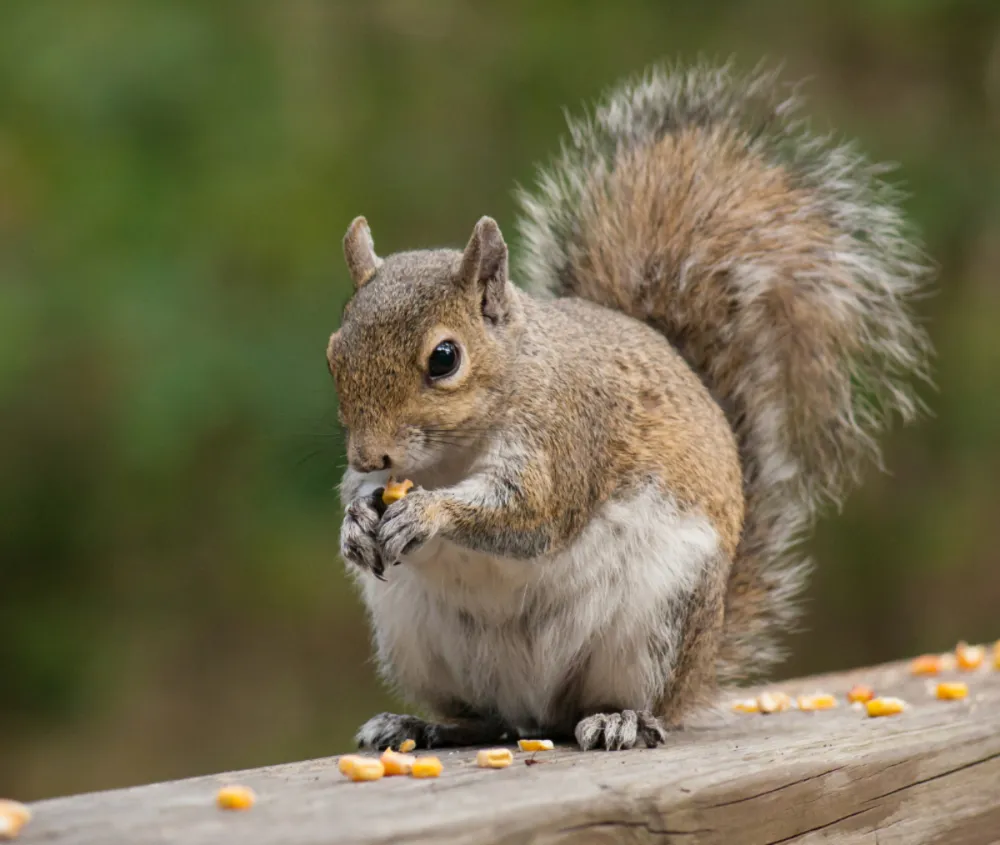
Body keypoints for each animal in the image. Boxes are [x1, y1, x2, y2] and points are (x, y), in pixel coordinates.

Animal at [326, 62, 932, 752]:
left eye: (445, 358)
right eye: (334, 351)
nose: (367, 454)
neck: (454, 454)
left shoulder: (568, 437)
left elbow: (530, 514)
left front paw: (427, 513)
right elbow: (367, 498)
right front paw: (355, 521)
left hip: (658, 622)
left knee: (622, 703)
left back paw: (621, 719)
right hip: (416, 637)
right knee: (486, 718)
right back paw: (420, 724)